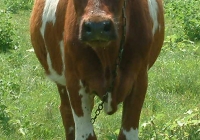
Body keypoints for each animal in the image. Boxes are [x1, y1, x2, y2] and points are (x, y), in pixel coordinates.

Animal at [29, 0, 164, 139]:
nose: (97, 27)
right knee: (66, 111)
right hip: (61, 82)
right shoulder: (74, 82)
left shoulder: (140, 80)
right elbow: (86, 135)